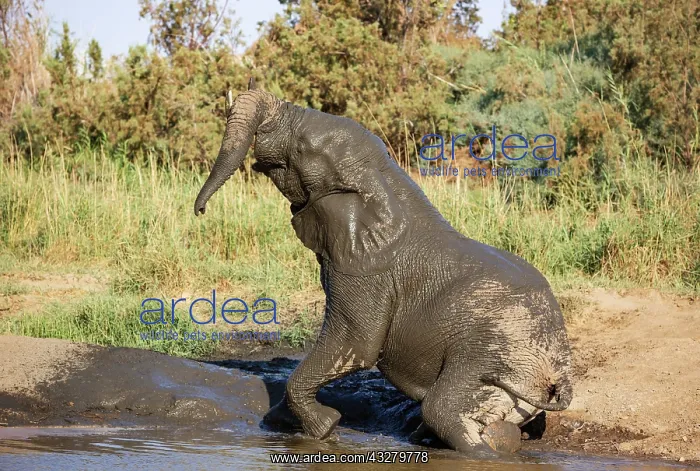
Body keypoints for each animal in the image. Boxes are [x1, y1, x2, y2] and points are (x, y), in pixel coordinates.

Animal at [193, 78, 573, 454]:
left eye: (301, 148)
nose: (200, 210)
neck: (382, 178)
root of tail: (559, 373)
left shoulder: (365, 270)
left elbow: (356, 343)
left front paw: (324, 429)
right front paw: (280, 425)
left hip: (490, 351)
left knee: (442, 410)